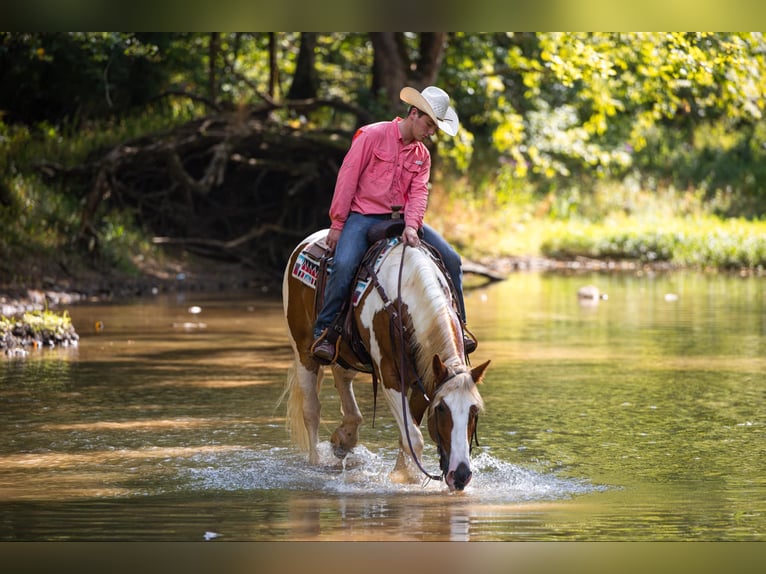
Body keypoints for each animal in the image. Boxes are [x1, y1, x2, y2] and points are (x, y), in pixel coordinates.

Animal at [281, 228, 490, 491]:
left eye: (474, 410)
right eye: (441, 409)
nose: (461, 475)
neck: (403, 299)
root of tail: (307, 242)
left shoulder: (424, 378)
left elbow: (407, 434)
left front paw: (402, 473)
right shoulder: (390, 375)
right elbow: (413, 437)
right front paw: (410, 479)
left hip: (348, 354)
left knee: (343, 379)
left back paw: (344, 439)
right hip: (303, 352)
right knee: (311, 410)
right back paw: (316, 462)